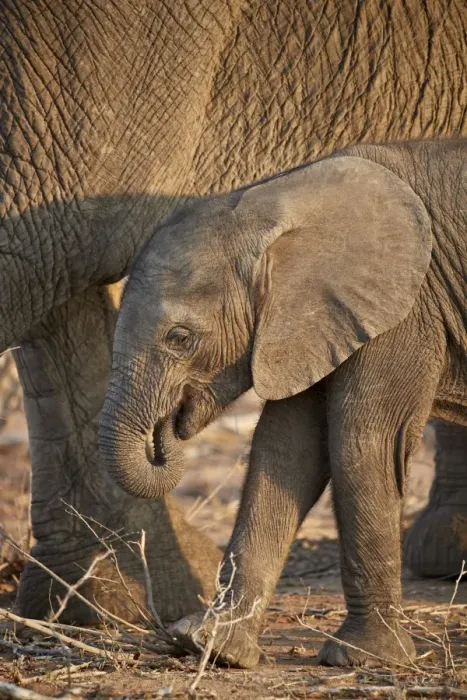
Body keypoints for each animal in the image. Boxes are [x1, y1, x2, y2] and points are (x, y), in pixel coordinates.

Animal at [100, 138, 467, 667]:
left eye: (180, 338)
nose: (166, 429)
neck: (271, 202)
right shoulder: (312, 319)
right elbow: (287, 450)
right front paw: (210, 645)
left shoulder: (406, 308)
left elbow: (363, 444)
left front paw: (362, 658)